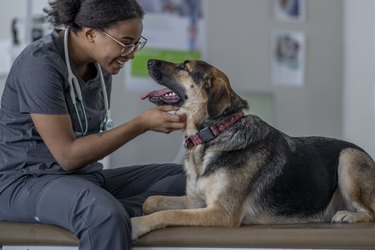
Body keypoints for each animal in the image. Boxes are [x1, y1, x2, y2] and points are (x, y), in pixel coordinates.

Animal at [131, 59, 375, 240]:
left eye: (184, 67)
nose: (149, 61)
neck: (215, 133)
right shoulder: (196, 202)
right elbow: (151, 201)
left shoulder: (221, 213)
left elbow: (167, 213)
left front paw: (136, 225)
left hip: (348, 157)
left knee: (372, 212)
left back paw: (348, 216)